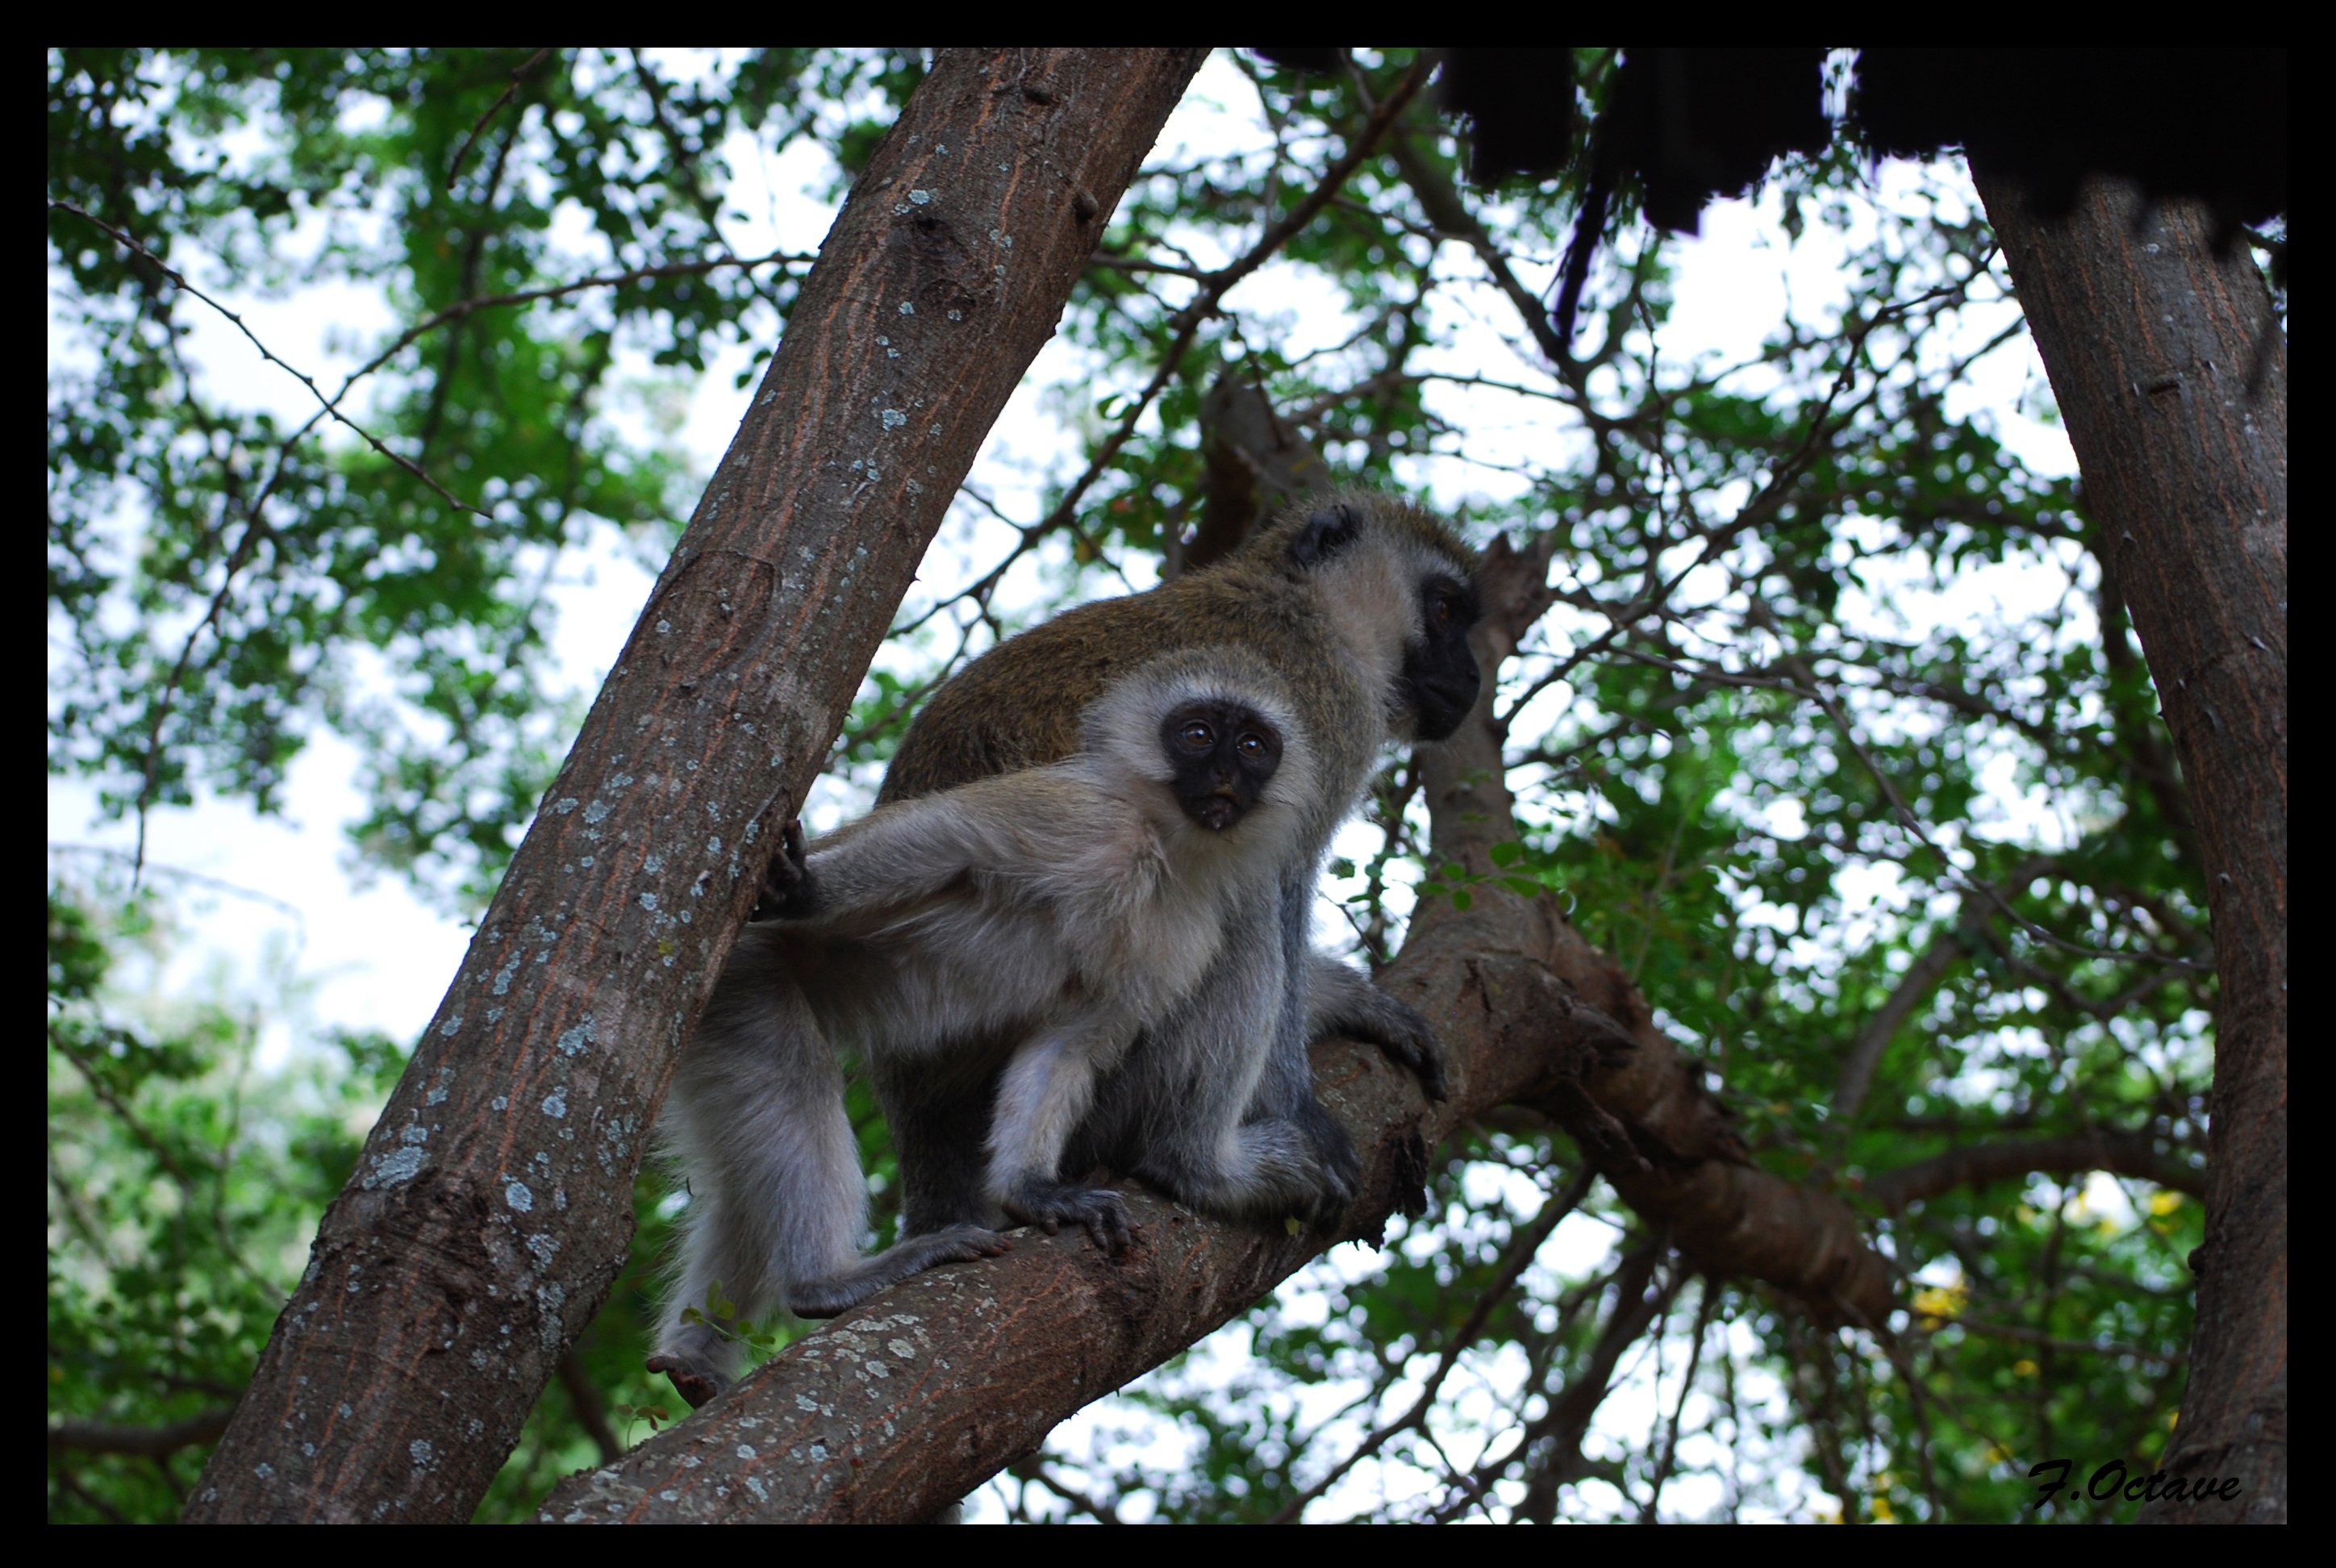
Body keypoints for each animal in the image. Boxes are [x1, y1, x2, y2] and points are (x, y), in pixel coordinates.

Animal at [649, 649, 1326, 1411]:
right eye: (1199, 734)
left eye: (1253, 747)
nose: (1225, 778)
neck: (1157, 851)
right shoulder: (1075, 813)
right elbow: (947, 837)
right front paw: (806, 890)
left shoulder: (1181, 933)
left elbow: (1071, 1041)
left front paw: (1029, 1187)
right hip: (745, 977)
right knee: (793, 1080)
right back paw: (824, 1284)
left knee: (741, 1175)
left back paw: (694, 1356)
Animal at [878, 493, 1476, 1252]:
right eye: (1447, 611)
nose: (1473, 676)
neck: (1303, 609)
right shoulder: (1327, 713)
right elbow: (1280, 888)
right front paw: (1297, 1103)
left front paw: (1347, 999)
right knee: (1239, 904)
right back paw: (1197, 1163)